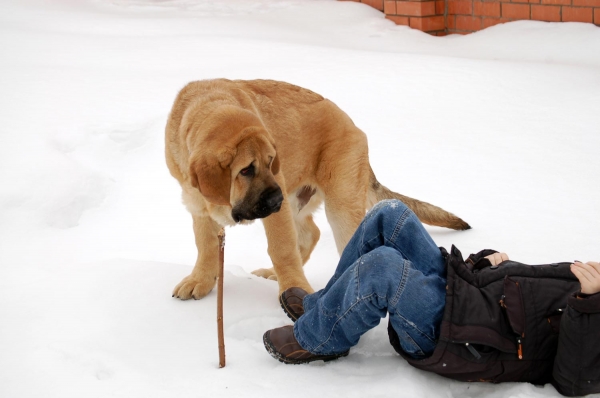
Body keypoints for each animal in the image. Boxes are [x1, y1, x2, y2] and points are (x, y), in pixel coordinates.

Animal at [166, 79, 472, 300]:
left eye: (271, 161)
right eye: (246, 170)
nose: (276, 198)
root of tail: (353, 124)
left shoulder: (276, 213)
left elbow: (281, 248)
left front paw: (295, 290)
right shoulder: (199, 208)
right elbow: (205, 247)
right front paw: (200, 280)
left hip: (335, 205)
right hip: (296, 201)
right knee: (310, 233)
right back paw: (276, 273)